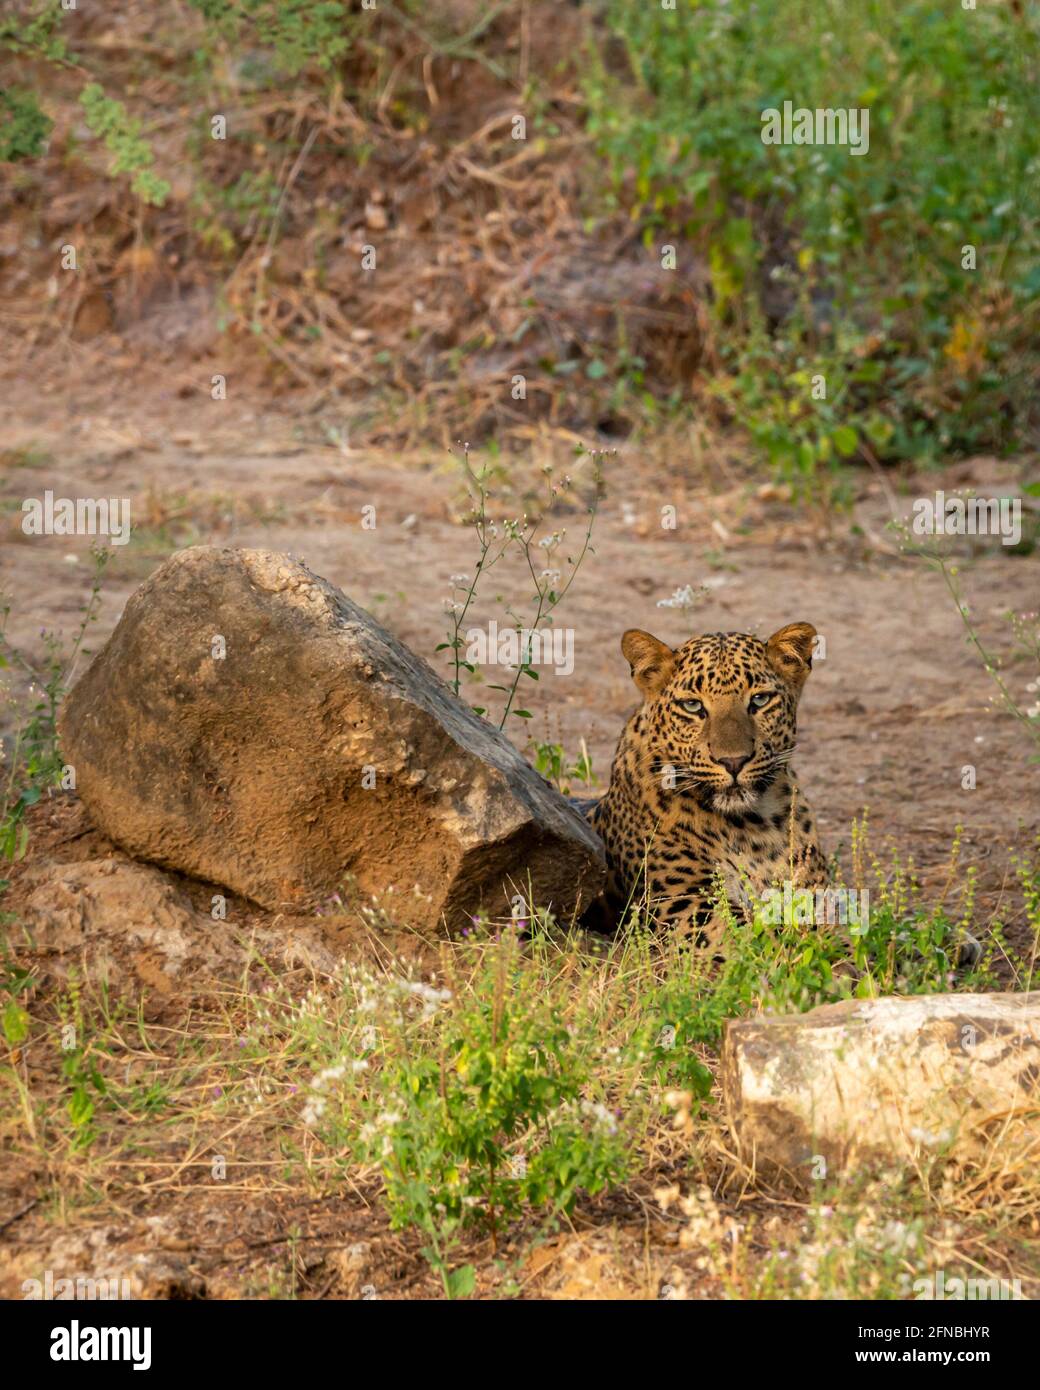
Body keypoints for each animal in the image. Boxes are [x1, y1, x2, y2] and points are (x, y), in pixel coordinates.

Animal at [583, 625, 828, 950]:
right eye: (692, 705)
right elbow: (751, 939)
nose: (733, 761)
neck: (754, 826)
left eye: (760, 700)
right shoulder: (686, 903)